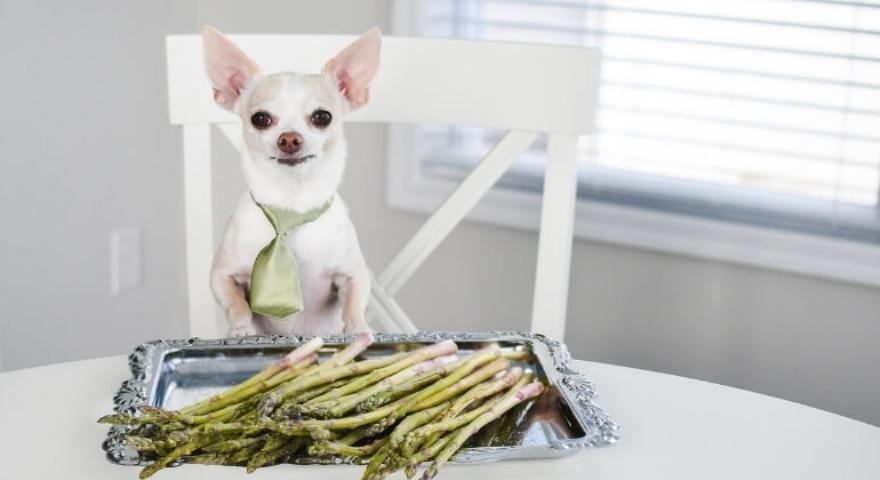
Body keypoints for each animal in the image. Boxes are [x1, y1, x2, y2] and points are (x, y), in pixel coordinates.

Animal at [202, 26, 379, 337]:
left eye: (322, 117)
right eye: (260, 119)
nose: (289, 139)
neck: (291, 204)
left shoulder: (352, 275)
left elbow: (354, 304)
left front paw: (359, 328)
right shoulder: (221, 276)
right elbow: (237, 304)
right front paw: (241, 329)